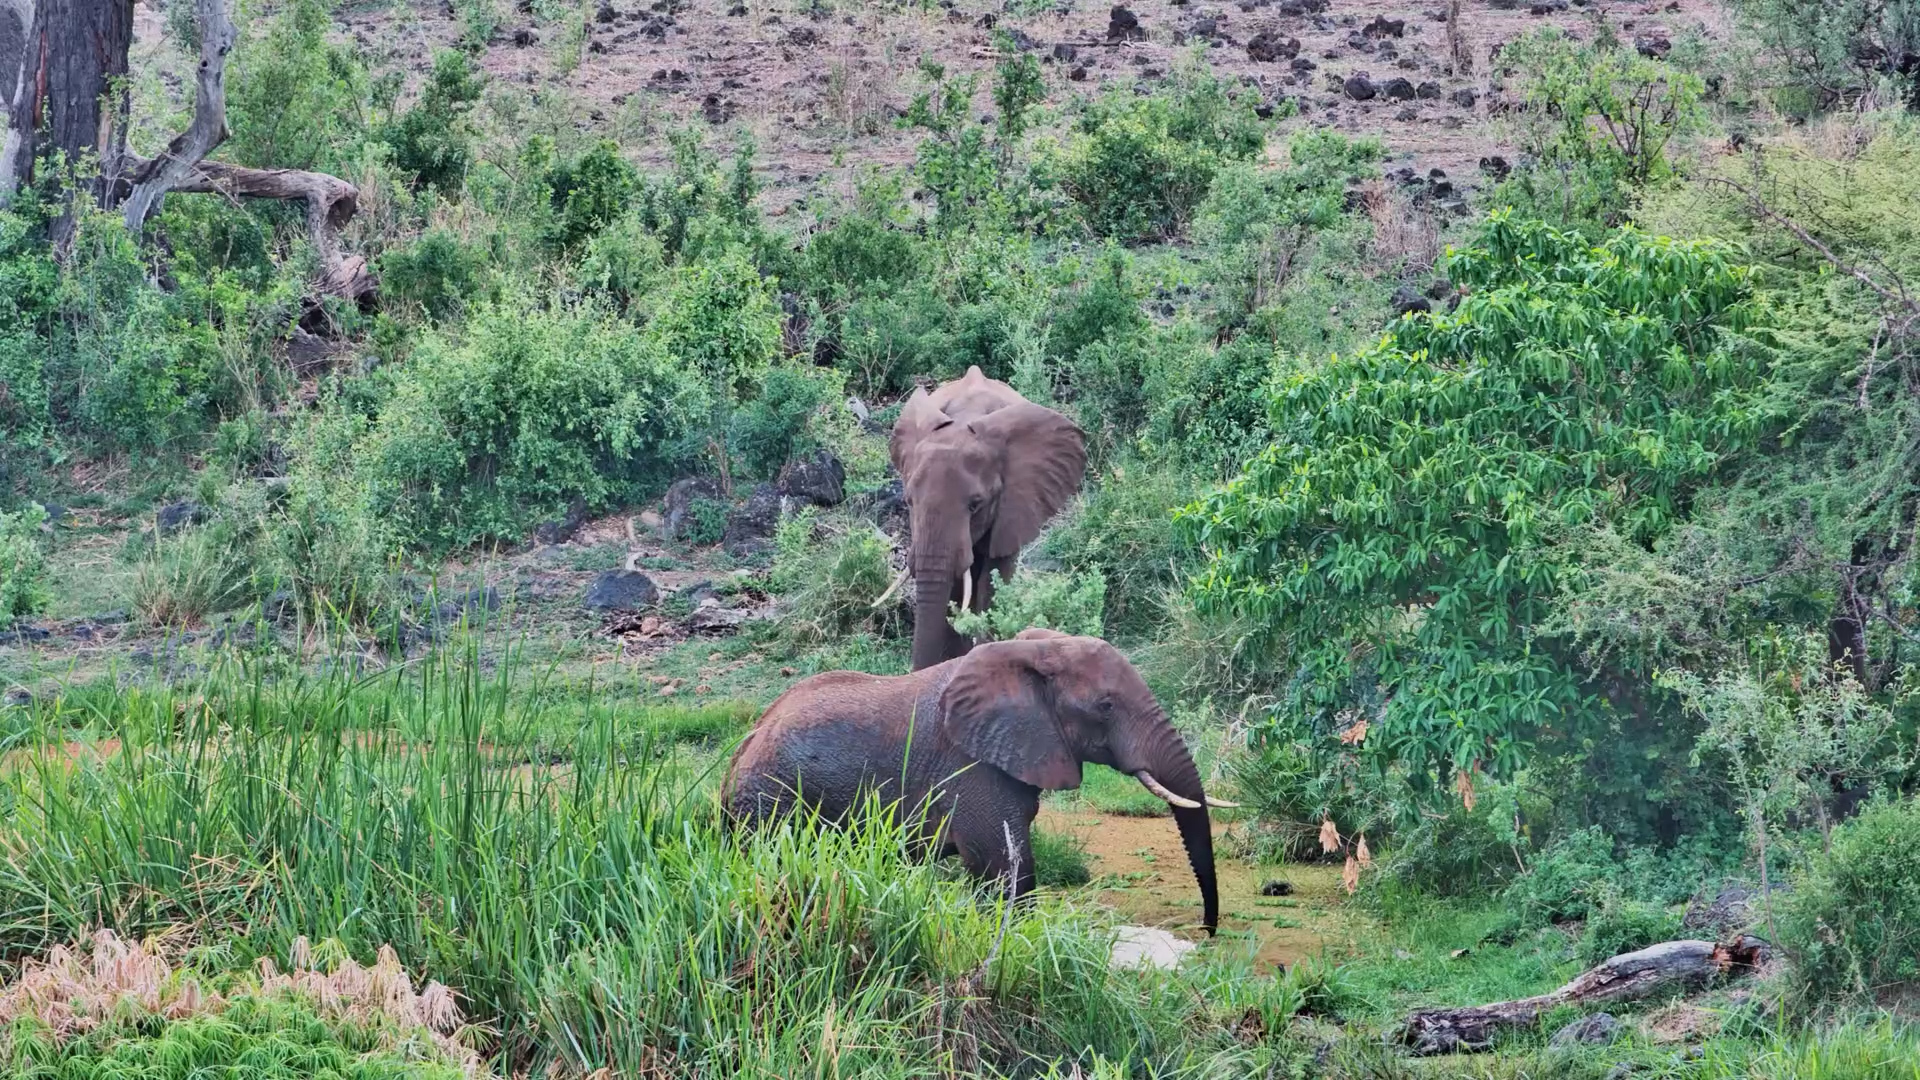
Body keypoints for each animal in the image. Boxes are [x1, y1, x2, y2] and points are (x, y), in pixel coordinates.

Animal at [722, 628, 1233, 934]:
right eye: (1105, 706)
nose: (1206, 930)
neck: (1030, 653)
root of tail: (740, 751)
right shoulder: (972, 767)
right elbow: (1005, 867)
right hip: (771, 802)